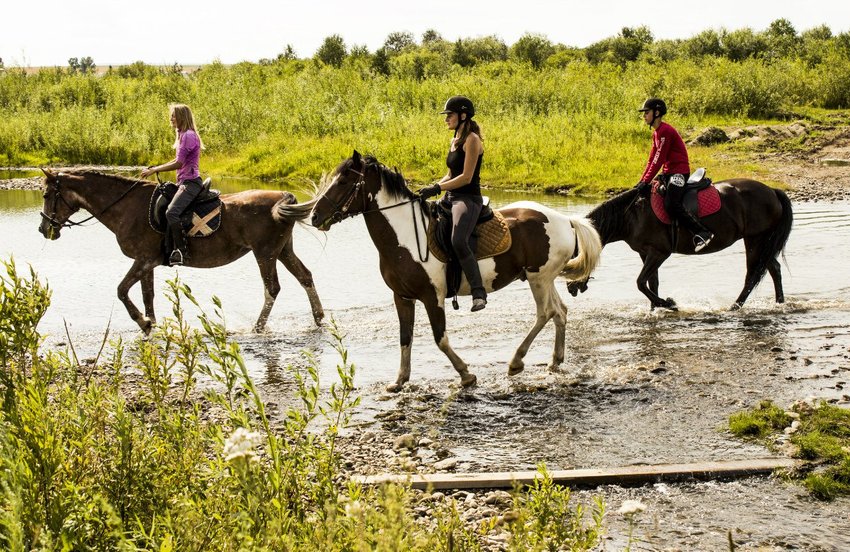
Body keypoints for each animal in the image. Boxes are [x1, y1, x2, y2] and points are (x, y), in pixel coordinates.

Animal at [36, 168, 322, 332]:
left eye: (47, 195)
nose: (43, 229)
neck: (127, 207)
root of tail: (282, 198)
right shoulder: (147, 263)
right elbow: (147, 296)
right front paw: (150, 325)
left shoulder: (143, 260)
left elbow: (121, 290)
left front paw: (142, 322)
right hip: (283, 251)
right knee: (305, 277)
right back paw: (319, 318)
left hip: (265, 254)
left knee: (272, 288)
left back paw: (258, 328)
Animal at [274, 151, 600, 392]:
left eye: (343, 181)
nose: (316, 216)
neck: (404, 235)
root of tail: (566, 220)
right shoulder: (402, 297)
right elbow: (405, 337)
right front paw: (399, 380)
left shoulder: (433, 297)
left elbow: (439, 338)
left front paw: (466, 375)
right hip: (543, 278)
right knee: (560, 312)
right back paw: (555, 361)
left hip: (537, 278)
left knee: (545, 313)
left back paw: (516, 362)